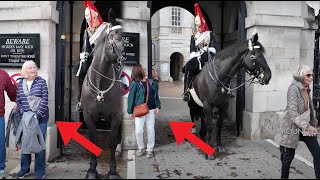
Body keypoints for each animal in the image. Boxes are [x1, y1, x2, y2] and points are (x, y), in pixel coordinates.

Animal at [79, 9, 124, 178]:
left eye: (124, 37)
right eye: (116, 37)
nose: (121, 62)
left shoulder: (116, 116)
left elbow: (111, 142)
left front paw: (113, 171)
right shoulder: (88, 116)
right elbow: (93, 141)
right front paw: (92, 170)